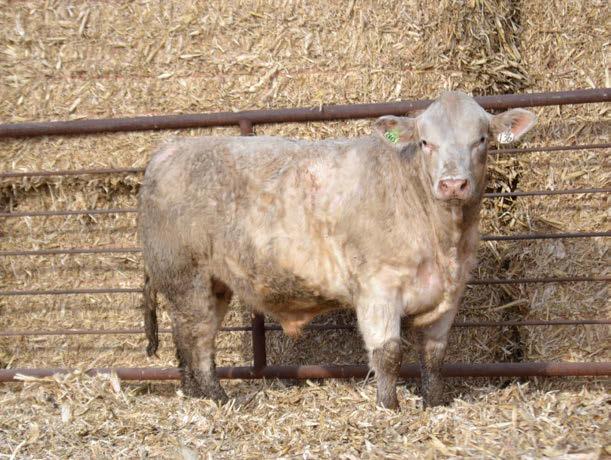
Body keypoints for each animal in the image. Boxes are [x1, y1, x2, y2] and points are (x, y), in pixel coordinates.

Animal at [138, 91, 536, 409]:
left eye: (481, 139)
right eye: (426, 142)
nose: (453, 184)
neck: (444, 241)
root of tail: (167, 151)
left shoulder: (448, 295)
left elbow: (435, 356)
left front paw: (435, 404)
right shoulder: (378, 288)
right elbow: (388, 353)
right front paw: (389, 407)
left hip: (211, 283)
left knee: (183, 335)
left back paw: (192, 393)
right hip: (186, 276)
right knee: (198, 339)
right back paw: (217, 397)